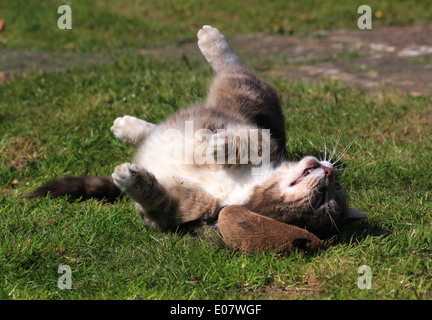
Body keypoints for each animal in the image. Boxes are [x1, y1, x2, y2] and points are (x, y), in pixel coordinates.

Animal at [27, 25, 366, 239]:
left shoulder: (173, 212)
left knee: (233, 71)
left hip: (243, 92)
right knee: (230, 74)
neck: (239, 188)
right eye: (332, 189)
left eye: (324, 199)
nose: (328, 171)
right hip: (245, 100)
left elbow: (153, 199)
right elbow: (246, 141)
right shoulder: (261, 136)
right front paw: (217, 147)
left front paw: (131, 177)